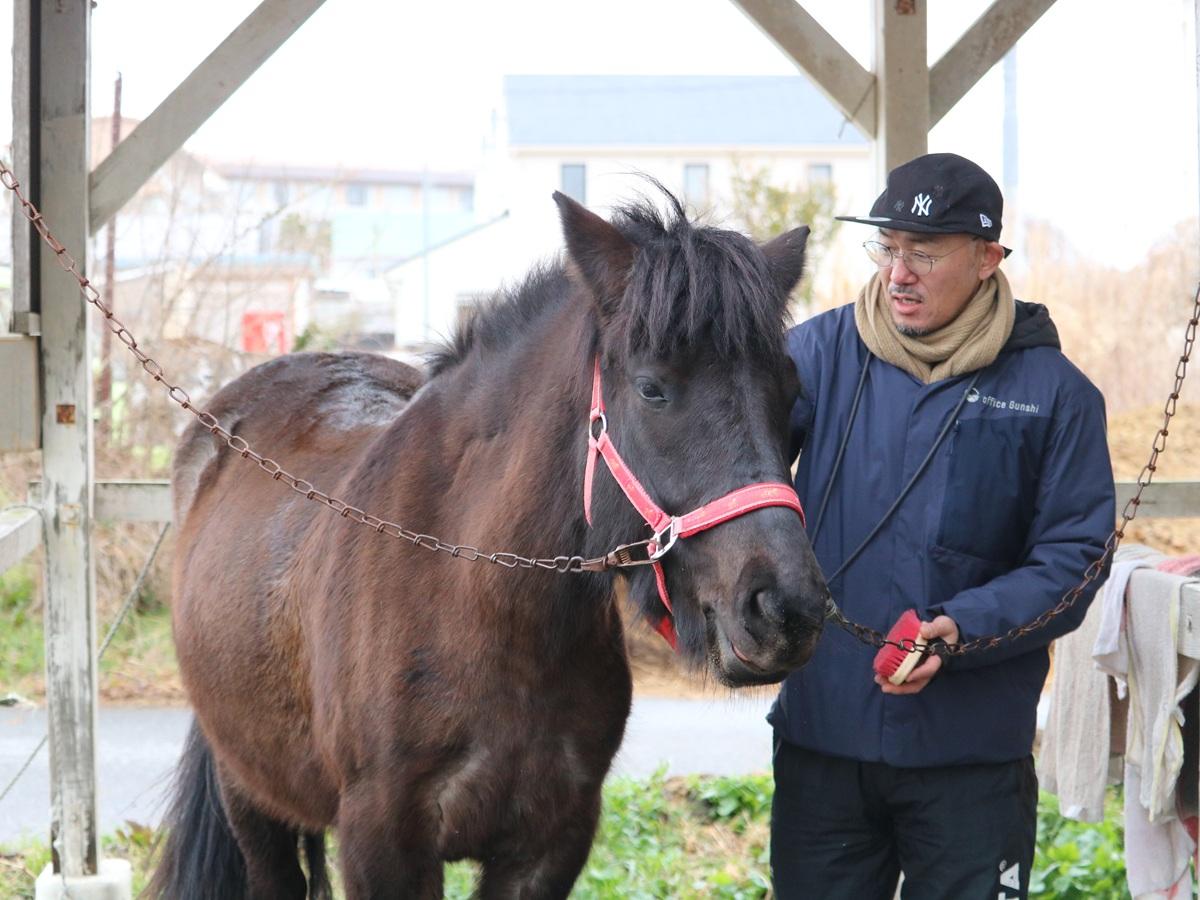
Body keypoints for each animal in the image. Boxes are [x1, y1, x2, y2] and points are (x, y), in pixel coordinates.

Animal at [150, 190, 831, 899]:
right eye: (652, 388)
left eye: (792, 393)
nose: (784, 610)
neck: (480, 605)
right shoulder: (381, 843)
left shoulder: (549, 845)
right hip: (251, 798)